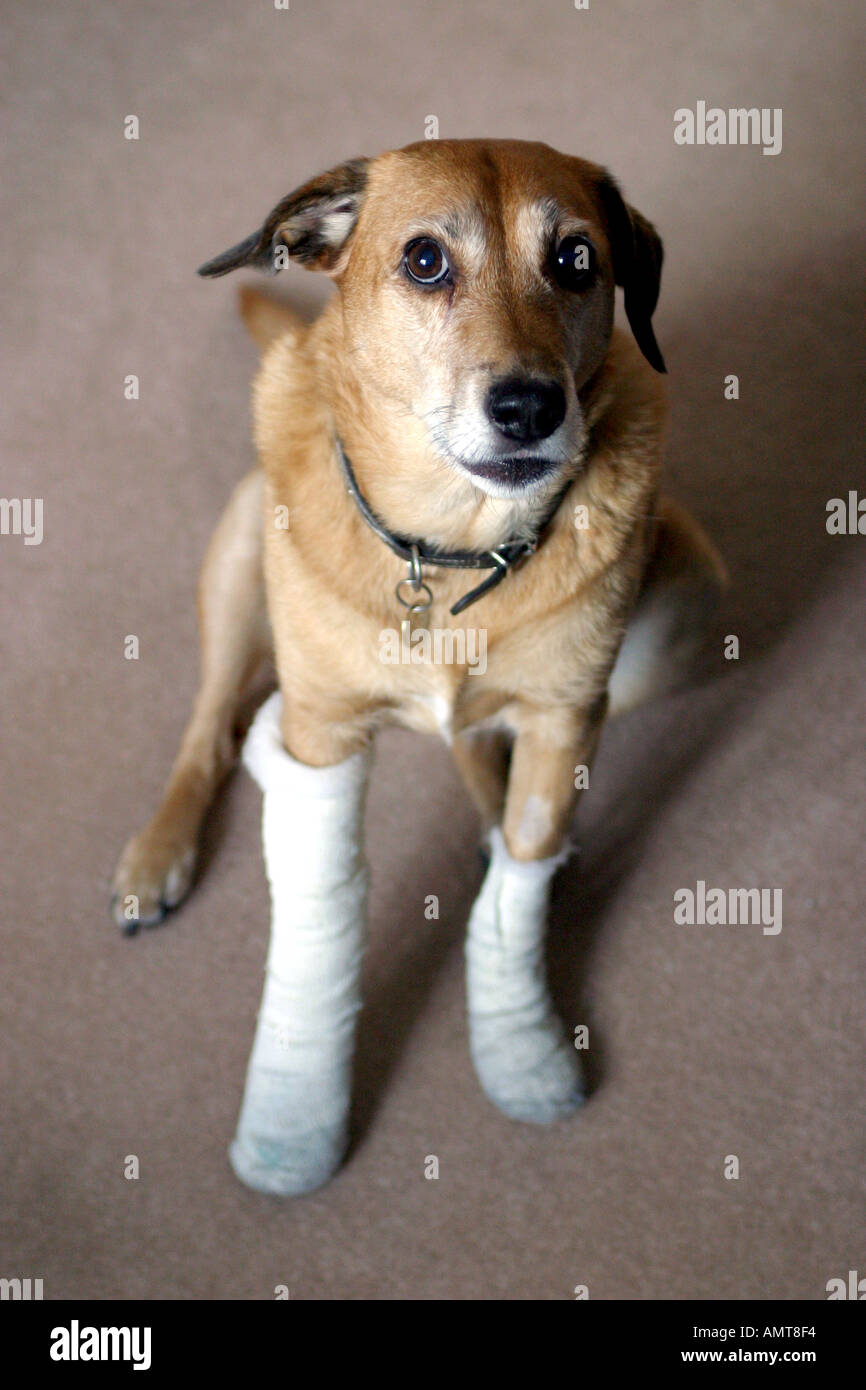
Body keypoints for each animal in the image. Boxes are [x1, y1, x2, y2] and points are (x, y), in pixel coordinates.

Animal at [113, 135, 722, 1189]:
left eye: (576, 260)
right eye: (426, 261)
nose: (529, 406)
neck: (448, 553)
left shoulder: (568, 710)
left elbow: (527, 841)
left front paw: (519, 1039)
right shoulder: (322, 730)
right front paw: (296, 1120)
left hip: (682, 599)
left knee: (479, 747)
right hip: (241, 558)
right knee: (210, 728)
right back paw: (160, 851)